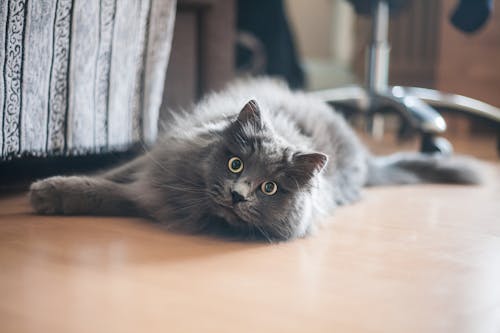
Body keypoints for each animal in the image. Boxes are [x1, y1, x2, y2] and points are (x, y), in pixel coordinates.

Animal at [28, 80, 480, 241]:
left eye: (269, 188)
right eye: (235, 166)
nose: (238, 195)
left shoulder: (151, 194)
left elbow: (107, 192)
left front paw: (47, 194)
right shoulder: (154, 167)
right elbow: (104, 179)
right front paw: (47, 190)